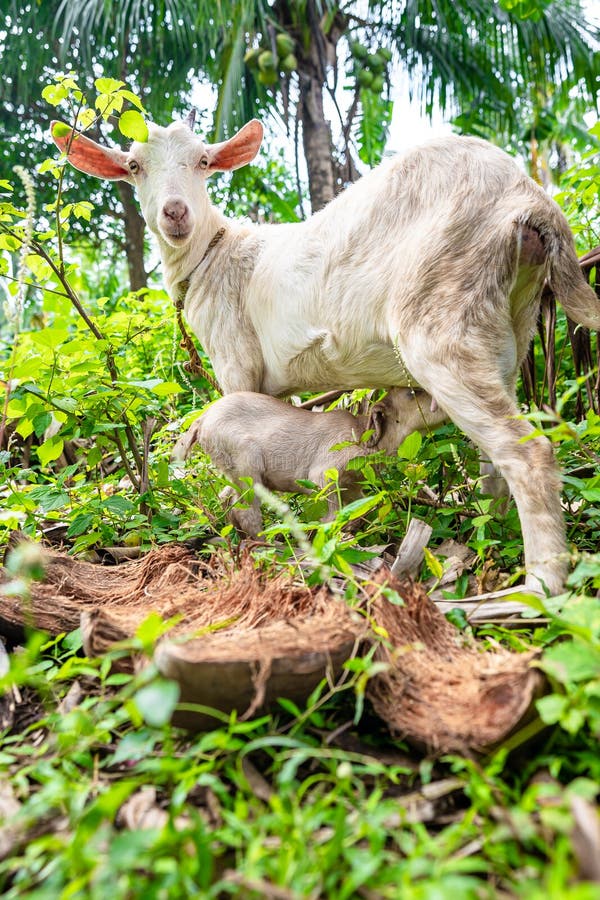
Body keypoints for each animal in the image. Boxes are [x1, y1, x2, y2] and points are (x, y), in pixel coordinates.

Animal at [171, 388, 443, 537]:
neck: (362, 436)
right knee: (246, 511)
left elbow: (361, 510)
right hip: (247, 466)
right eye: (412, 393)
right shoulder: (324, 474)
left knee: (227, 500)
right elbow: (332, 516)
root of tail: (202, 420)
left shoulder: (352, 485)